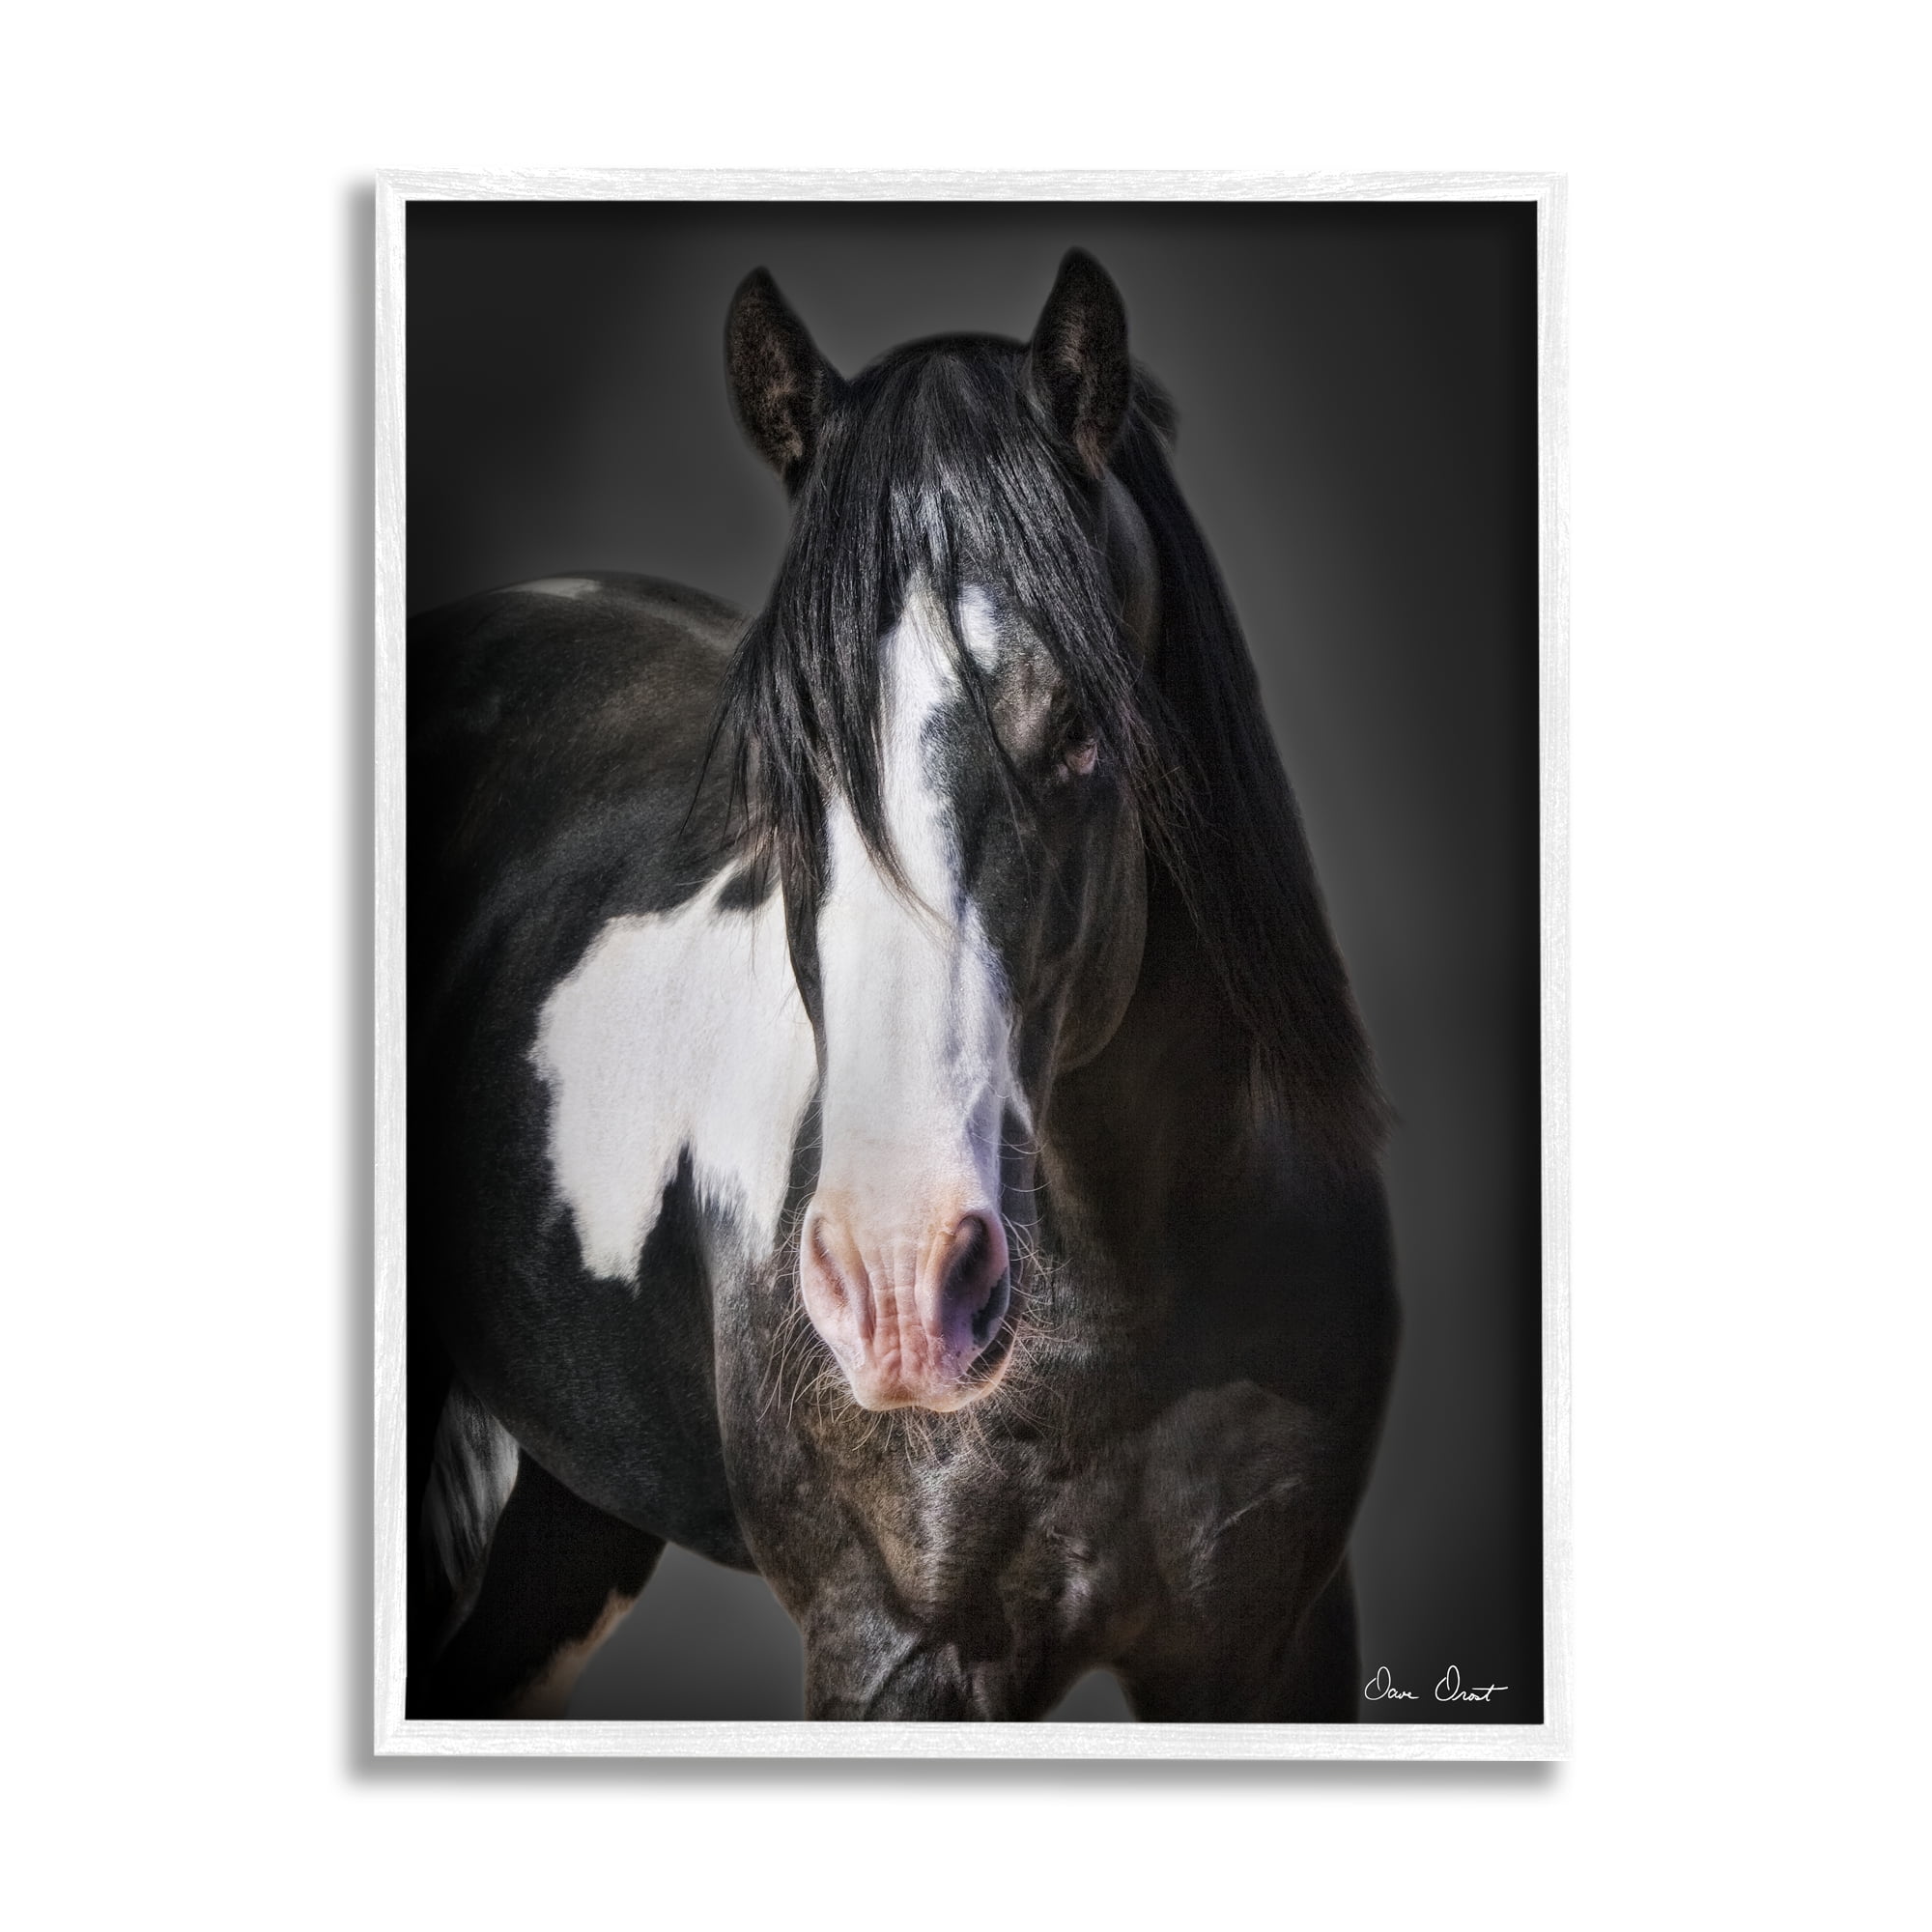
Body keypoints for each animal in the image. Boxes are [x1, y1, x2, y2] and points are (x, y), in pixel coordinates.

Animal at [405, 249, 1399, 1722]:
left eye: (1080, 729)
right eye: (781, 750)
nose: (897, 1285)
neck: (1133, 1291)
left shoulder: (1269, 1647)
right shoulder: (896, 1655)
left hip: (573, 1508)